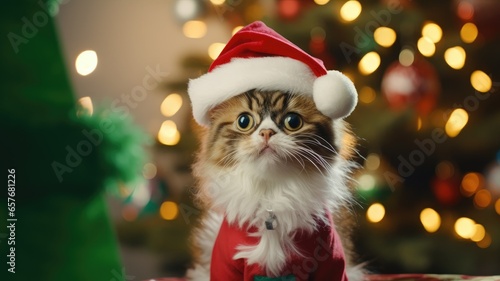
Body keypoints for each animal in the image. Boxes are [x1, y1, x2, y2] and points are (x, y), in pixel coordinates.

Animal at [188, 89, 360, 278]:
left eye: (293, 121)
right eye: (244, 121)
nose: (266, 132)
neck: (271, 192)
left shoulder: (330, 260)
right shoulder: (225, 264)